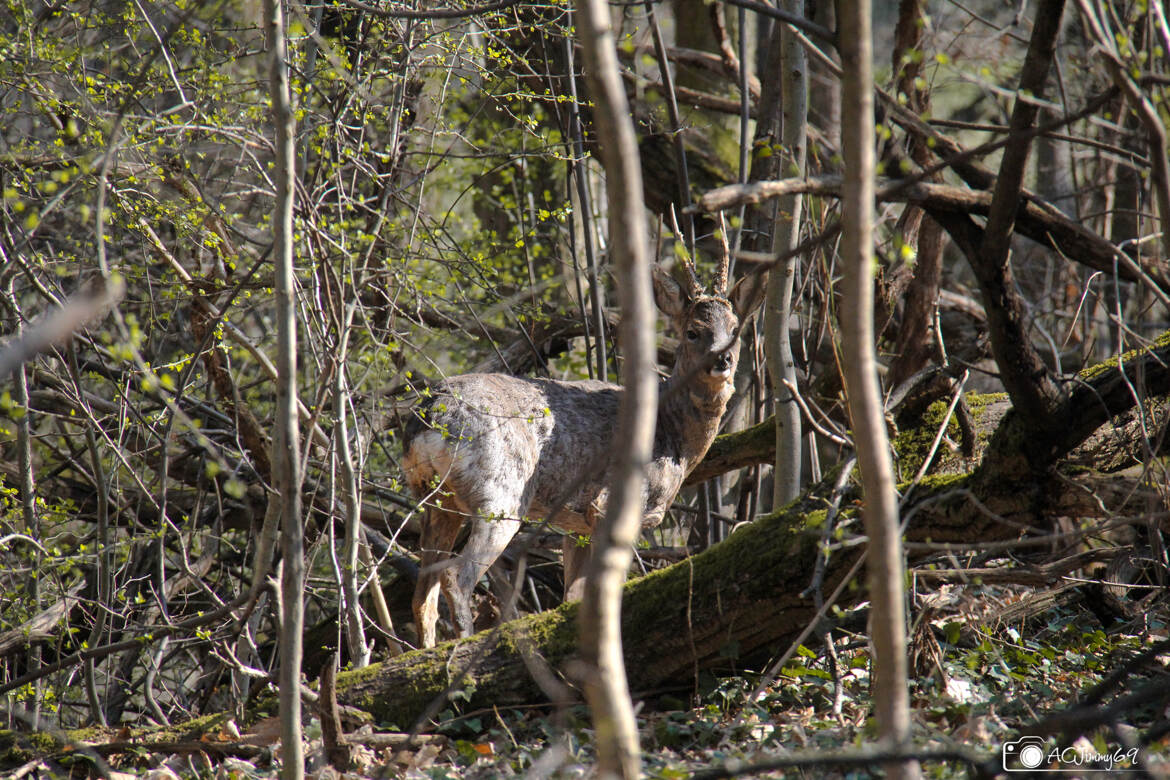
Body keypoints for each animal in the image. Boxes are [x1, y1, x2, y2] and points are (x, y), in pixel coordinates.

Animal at [404, 256, 767, 645]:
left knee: (423, 595)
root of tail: (431, 414)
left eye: (735, 328)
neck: (674, 435)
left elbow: (572, 597)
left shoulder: (575, 524)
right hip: (500, 494)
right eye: (693, 331)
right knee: (457, 578)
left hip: (437, 502)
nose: (723, 360)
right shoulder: (609, 505)